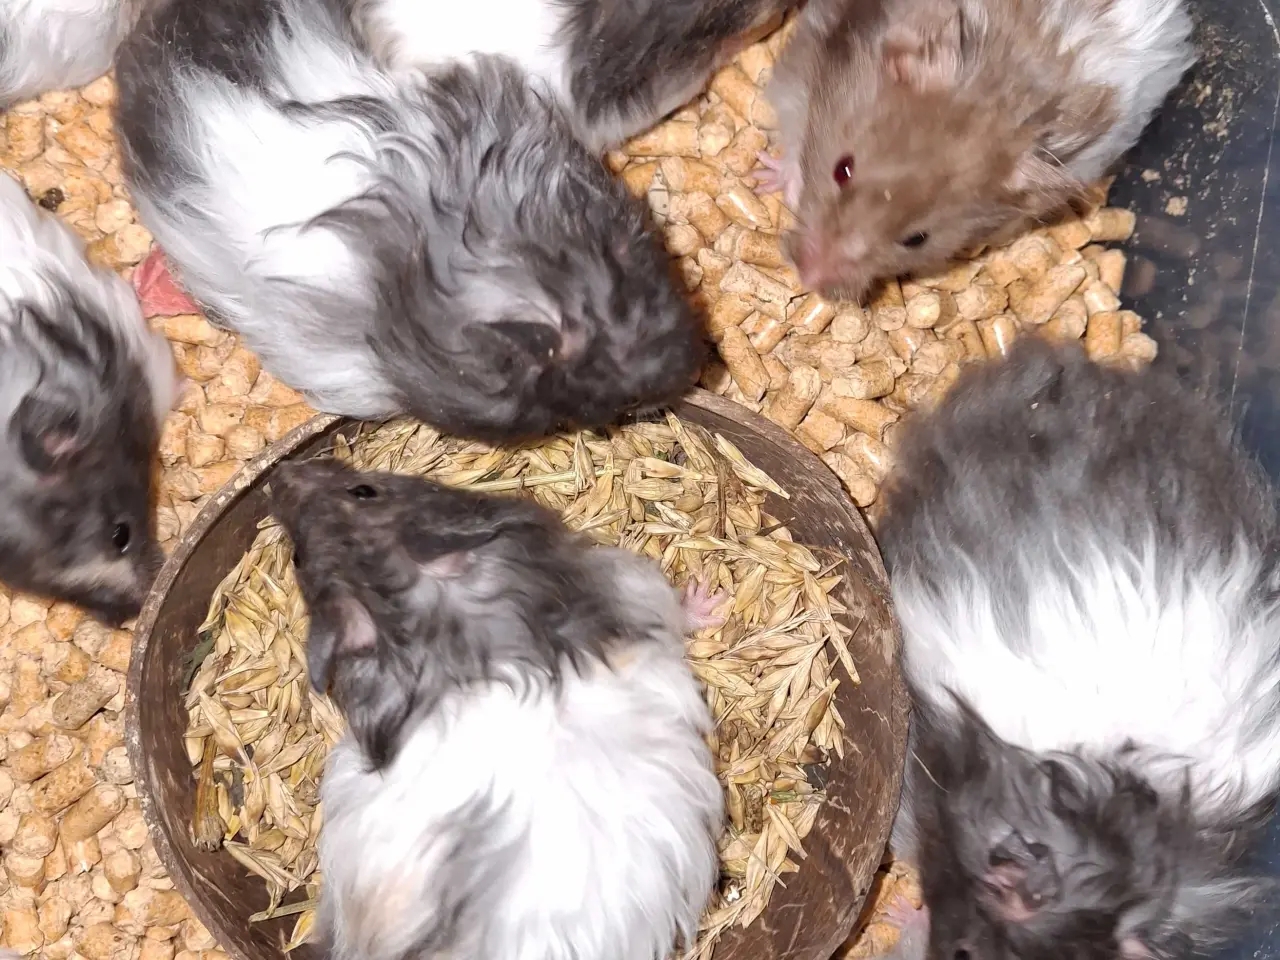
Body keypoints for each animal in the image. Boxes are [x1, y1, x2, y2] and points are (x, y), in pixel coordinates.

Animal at [761, 0, 1195, 300]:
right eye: (842, 169)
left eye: (917, 239)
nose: (806, 277)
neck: (1008, 82)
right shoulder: (817, 49)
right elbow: (794, 118)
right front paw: (766, 176)